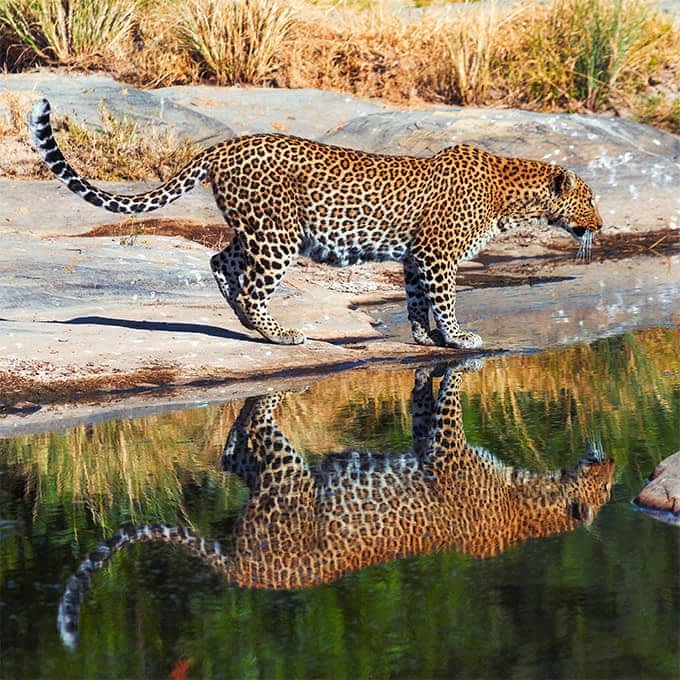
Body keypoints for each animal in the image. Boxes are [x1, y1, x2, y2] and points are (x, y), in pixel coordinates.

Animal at [29, 98, 604, 348]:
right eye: (590, 200)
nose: (600, 226)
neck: (511, 196)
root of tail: (225, 146)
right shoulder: (438, 256)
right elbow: (444, 299)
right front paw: (460, 337)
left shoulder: (416, 256)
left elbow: (416, 298)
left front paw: (424, 337)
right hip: (277, 236)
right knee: (250, 282)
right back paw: (279, 332)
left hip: (260, 230)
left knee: (220, 260)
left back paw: (245, 322)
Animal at [57, 362, 612, 648]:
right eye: (605, 491)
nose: (611, 463)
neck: (529, 498)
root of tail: (242, 571)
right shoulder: (449, 448)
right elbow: (449, 396)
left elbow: (422, 404)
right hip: (289, 477)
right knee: (259, 429)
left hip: (267, 482)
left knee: (235, 454)